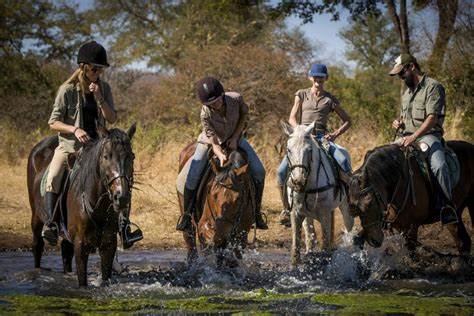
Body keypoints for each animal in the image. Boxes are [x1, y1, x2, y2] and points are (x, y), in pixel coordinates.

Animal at [27, 124, 136, 286]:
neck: (98, 207)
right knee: (37, 246)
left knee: (65, 251)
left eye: (131, 156)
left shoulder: (108, 245)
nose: (121, 197)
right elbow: (82, 282)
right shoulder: (81, 245)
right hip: (36, 217)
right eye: (106, 156)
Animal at [282, 122, 356, 268]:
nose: (298, 181)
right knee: (310, 233)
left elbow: (326, 246)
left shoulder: (325, 214)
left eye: (309, 150)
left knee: (349, 226)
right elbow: (296, 244)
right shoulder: (296, 212)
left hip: (345, 207)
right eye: (288, 150)